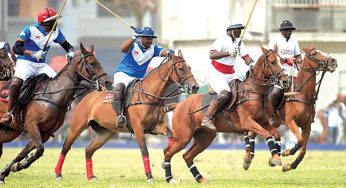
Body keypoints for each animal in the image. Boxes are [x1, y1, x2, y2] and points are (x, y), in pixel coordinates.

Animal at [0, 43, 111, 184]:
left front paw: (9, 170)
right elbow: (39, 150)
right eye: (92, 63)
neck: (53, 96)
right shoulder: (31, 125)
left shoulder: (45, 133)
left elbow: (26, 153)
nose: (108, 82)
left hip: (8, 132)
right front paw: (19, 165)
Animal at [54, 50, 200, 183]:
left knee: (89, 150)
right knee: (66, 146)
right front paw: (149, 176)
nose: (195, 87)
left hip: (105, 133)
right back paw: (58, 174)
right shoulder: (138, 129)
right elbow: (144, 150)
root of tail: (88, 96)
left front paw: (165, 164)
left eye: (189, 67)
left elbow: (170, 136)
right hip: (77, 126)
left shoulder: (157, 127)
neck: (149, 96)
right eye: (180, 68)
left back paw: (91, 176)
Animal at [162, 46, 290, 184]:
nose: (285, 81)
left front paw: (274, 157)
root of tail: (178, 105)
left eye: (282, 61)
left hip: (205, 137)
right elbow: (267, 135)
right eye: (272, 62)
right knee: (167, 152)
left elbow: (276, 134)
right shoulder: (248, 122)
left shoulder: (264, 122)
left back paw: (200, 178)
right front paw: (275, 158)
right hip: (182, 137)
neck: (255, 91)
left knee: (187, 156)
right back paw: (170, 178)